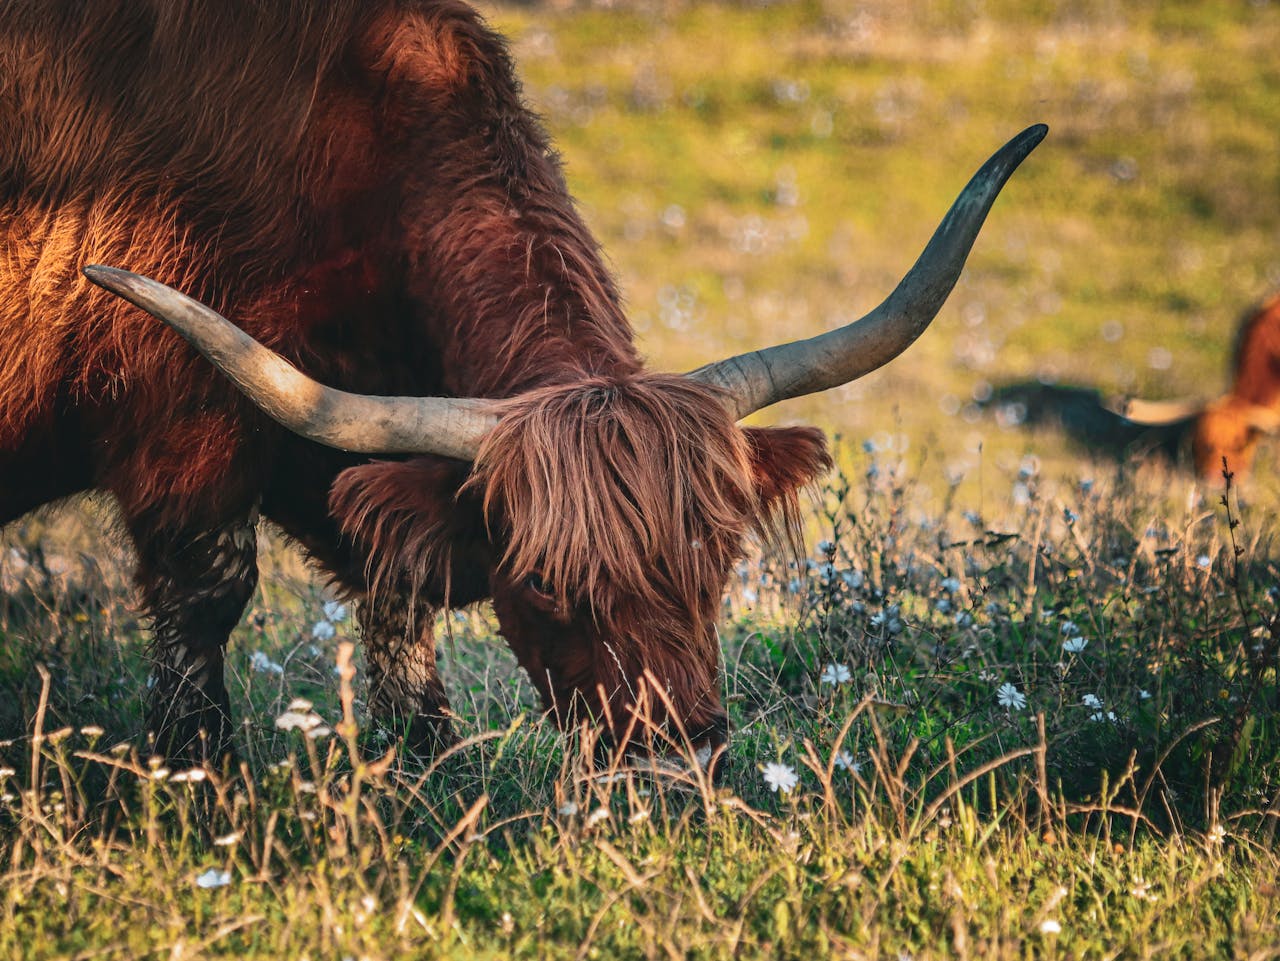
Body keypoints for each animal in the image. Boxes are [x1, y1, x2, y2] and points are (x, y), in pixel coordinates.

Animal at [0, 0, 1044, 768]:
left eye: (717, 556)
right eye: (544, 581)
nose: (676, 762)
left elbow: (401, 613)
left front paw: (429, 771)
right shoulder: (183, 449)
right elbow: (206, 609)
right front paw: (196, 786)